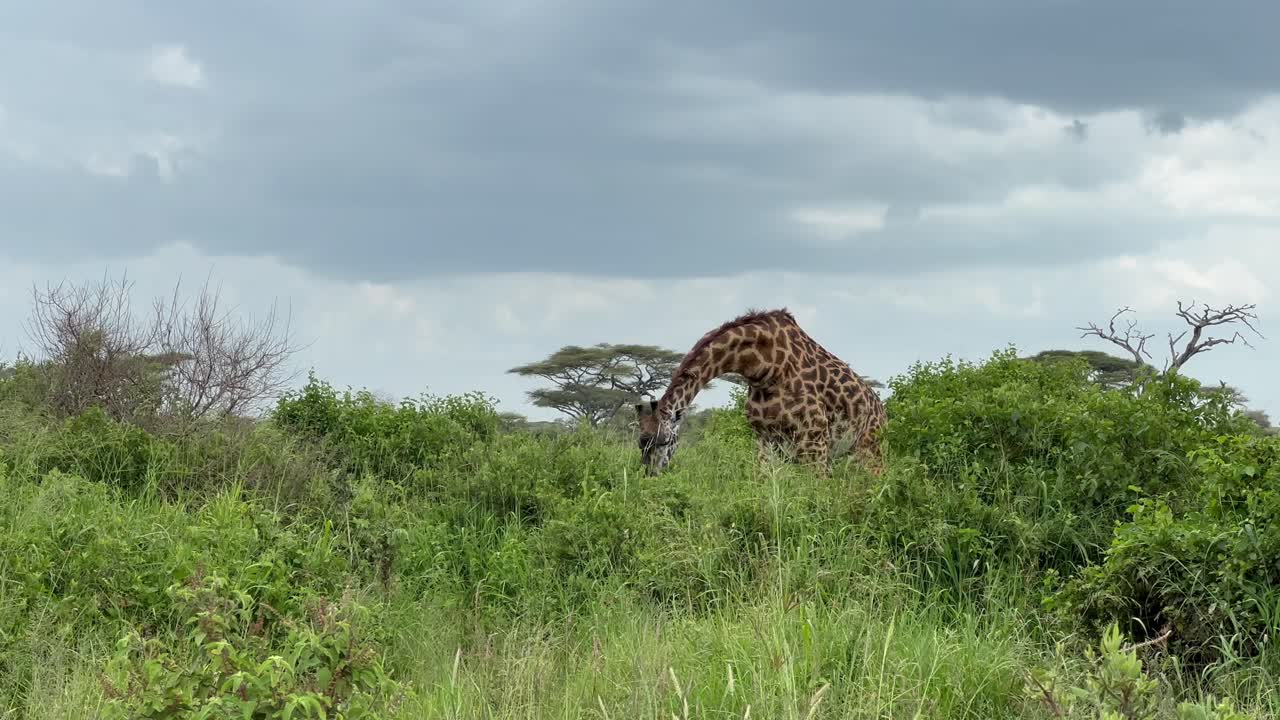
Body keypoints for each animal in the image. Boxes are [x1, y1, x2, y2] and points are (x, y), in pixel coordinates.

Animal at [635, 308, 886, 477]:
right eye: (640, 442)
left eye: (665, 441)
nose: (650, 474)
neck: (763, 368)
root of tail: (882, 411)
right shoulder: (765, 438)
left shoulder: (814, 437)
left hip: (870, 447)